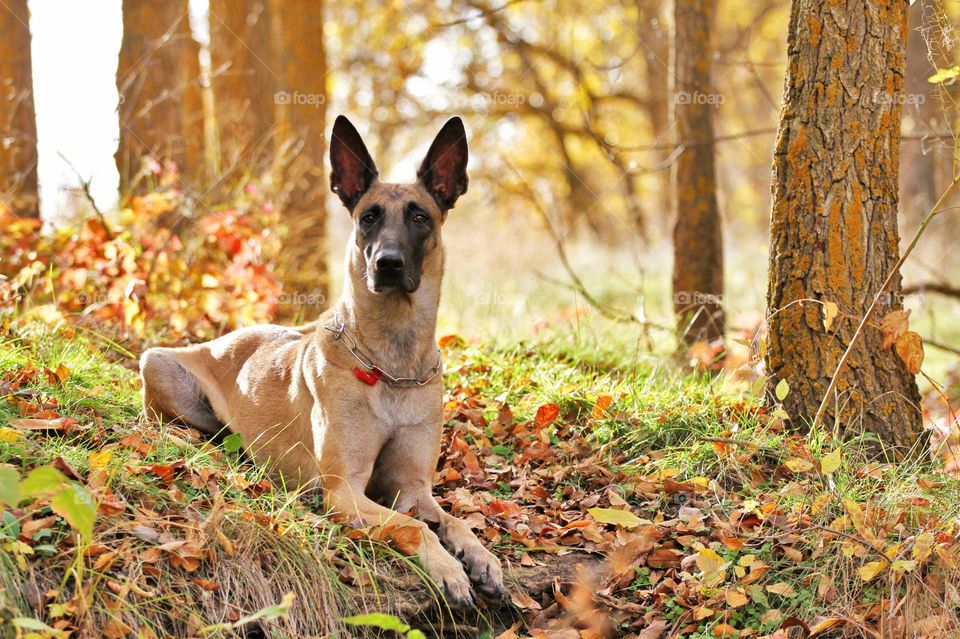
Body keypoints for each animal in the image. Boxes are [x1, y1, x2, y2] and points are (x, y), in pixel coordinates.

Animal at [141, 117, 510, 608]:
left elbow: (454, 521)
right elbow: (414, 526)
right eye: (369, 216)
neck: (393, 366)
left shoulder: (414, 488)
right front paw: (448, 569)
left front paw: (482, 558)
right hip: (158, 364)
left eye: (420, 216)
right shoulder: (345, 490)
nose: (388, 264)